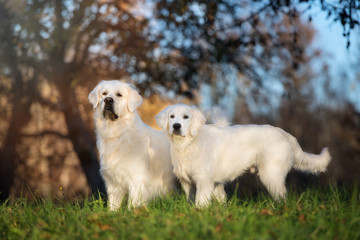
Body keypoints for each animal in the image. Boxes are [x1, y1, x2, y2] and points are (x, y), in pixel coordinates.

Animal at [89, 79, 175, 209]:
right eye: (104, 93)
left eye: (119, 95)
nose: (108, 100)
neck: (118, 133)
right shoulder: (113, 182)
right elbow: (113, 205)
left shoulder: (137, 179)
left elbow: (133, 204)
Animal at [156, 104, 330, 207]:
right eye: (172, 116)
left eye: (186, 117)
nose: (176, 126)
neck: (188, 145)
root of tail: (285, 134)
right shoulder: (187, 182)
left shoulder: (203, 181)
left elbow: (200, 202)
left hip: (271, 175)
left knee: (282, 196)